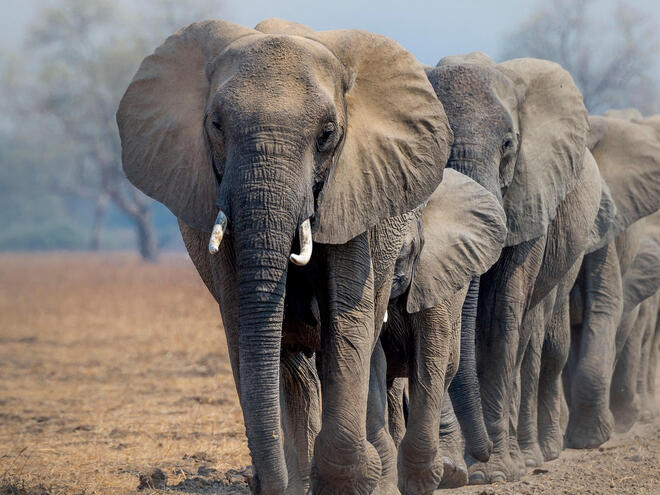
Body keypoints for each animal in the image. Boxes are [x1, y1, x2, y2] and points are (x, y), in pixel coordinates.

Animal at [114, 18, 454, 495]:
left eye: (327, 135)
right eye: (215, 125)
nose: (260, 483)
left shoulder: (354, 188)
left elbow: (346, 322)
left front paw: (347, 480)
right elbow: (243, 324)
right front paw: (296, 481)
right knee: (292, 364)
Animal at [422, 54, 604, 484]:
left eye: (508, 144)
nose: (482, 452)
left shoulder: (532, 192)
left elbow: (500, 315)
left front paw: (493, 473)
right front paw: (458, 471)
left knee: (537, 343)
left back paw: (536, 455)